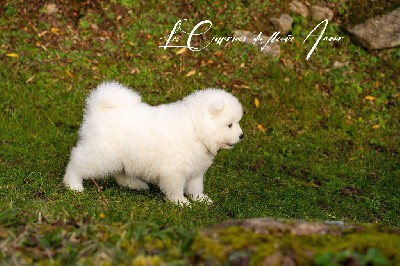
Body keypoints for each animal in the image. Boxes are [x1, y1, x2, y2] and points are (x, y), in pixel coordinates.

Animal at [64, 81, 244, 206]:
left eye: (237, 122)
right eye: (230, 125)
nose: (241, 136)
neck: (196, 129)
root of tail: (98, 110)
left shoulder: (195, 170)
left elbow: (195, 187)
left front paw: (200, 199)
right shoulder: (174, 171)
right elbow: (175, 188)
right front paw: (181, 202)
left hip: (122, 157)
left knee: (121, 174)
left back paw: (135, 184)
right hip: (101, 154)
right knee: (77, 164)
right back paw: (73, 185)